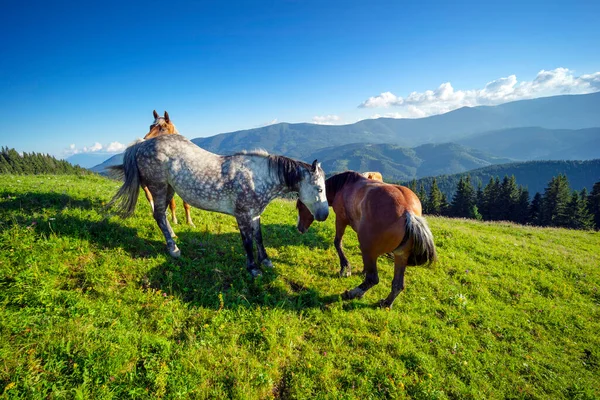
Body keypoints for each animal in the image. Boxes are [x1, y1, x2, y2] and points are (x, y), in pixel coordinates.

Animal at [109, 136, 330, 276]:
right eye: (319, 189)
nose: (325, 215)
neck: (257, 177)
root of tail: (141, 144)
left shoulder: (255, 215)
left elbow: (259, 238)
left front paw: (266, 261)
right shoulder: (242, 215)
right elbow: (247, 242)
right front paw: (253, 268)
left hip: (170, 188)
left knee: (161, 215)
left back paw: (172, 236)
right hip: (159, 187)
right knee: (159, 215)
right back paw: (173, 249)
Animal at [296, 170, 434, 308]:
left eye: (300, 206)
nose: (299, 228)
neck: (344, 185)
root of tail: (408, 212)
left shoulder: (341, 219)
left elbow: (338, 243)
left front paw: (345, 268)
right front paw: (361, 270)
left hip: (370, 249)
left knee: (373, 279)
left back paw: (352, 293)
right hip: (400, 256)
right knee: (397, 285)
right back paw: (386, 303)